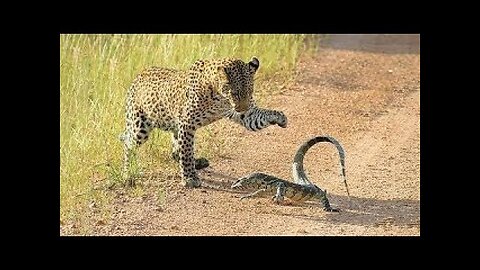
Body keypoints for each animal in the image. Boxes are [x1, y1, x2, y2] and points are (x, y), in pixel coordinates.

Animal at [122, 57, 286, 188]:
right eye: (235, 93)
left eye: (250, 91)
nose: (243, 108)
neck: (220, 97)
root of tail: (140, 74)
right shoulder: (187, 123)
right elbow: (187, 152)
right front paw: (190, 178)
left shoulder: (247, 115)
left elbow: (260, 116)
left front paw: (280, 117)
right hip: (140, 126)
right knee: (127, 143)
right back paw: (126, 173)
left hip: (173, 128)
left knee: (175, 151)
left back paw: (200, 162)